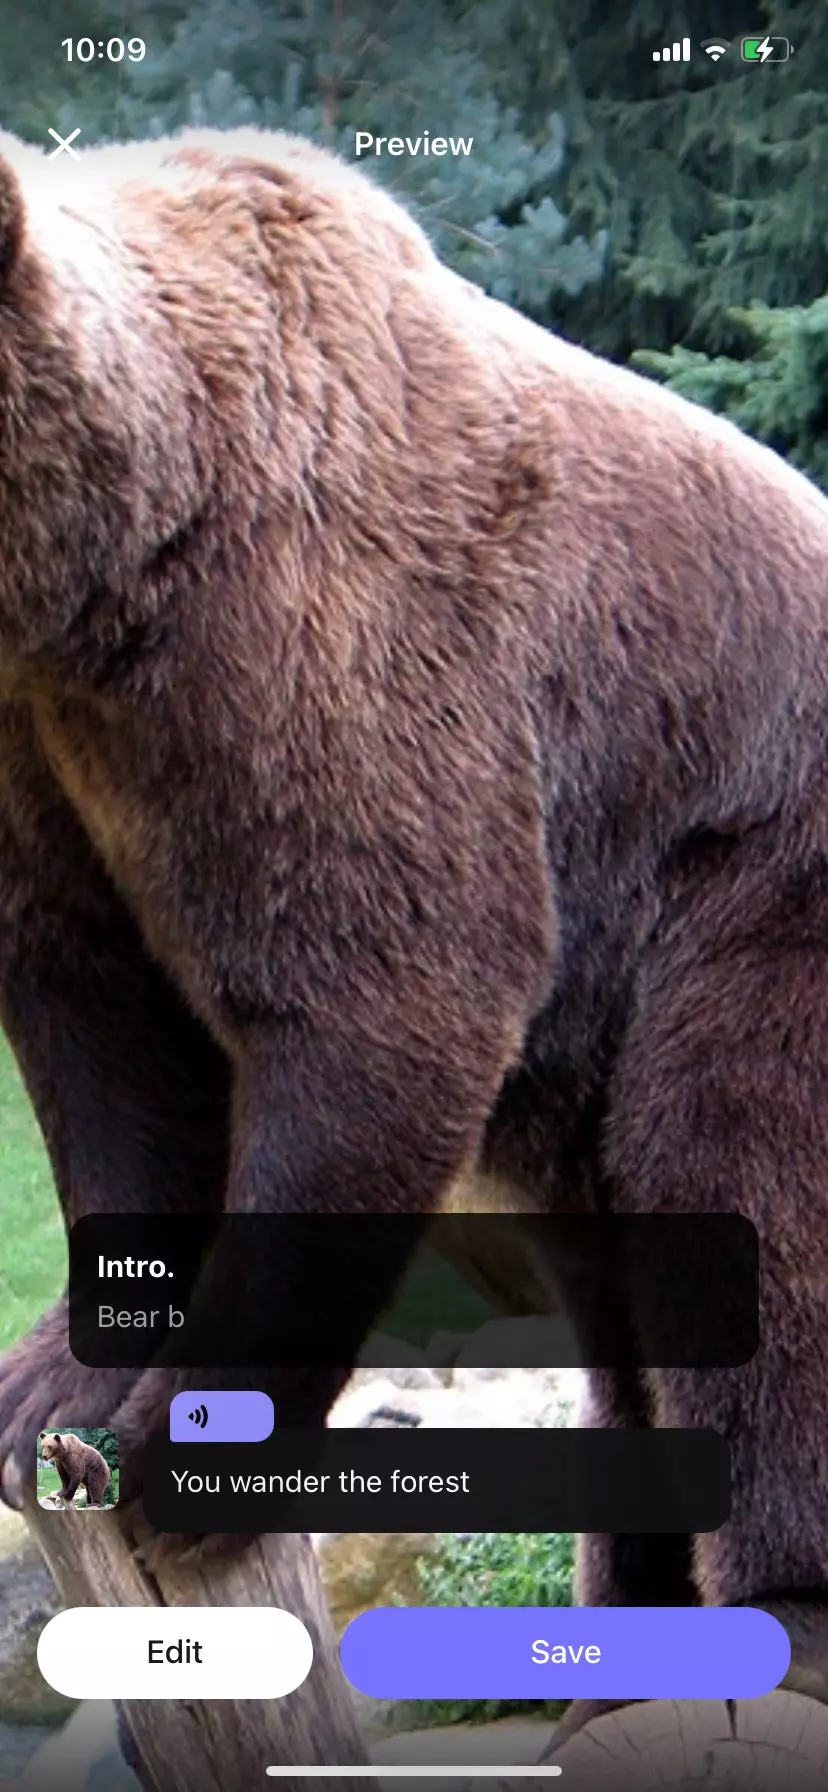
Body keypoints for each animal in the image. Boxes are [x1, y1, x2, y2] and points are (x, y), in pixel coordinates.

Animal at [0, 125, 828, 1741]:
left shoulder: (313, 635)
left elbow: (382, 993)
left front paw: (189, 1437)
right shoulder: (53, 756)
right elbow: (100, 1028)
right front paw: (51, 1390)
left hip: (747, 893)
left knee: (736, 1175)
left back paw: (786, 1623)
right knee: (622, 1300)